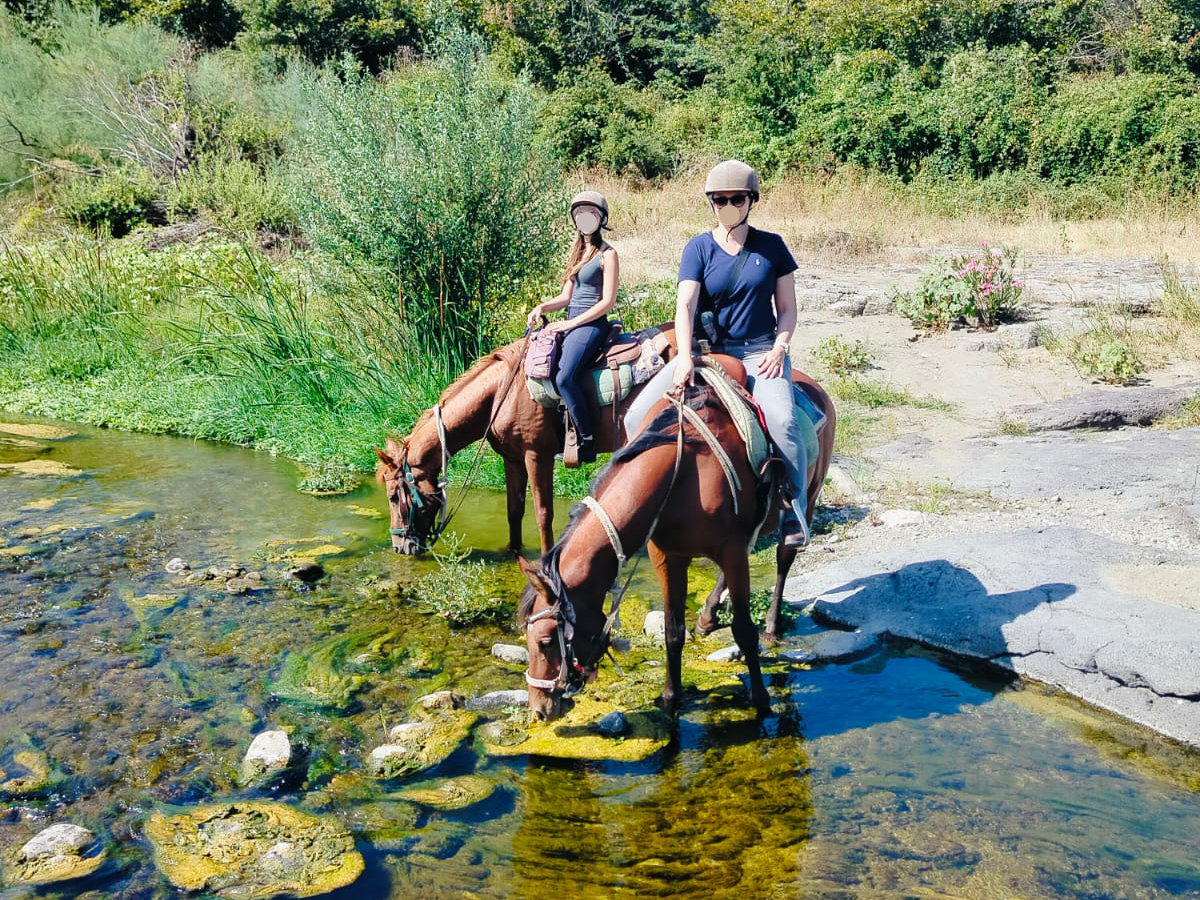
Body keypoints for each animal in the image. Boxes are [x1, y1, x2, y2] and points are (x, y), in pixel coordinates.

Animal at [375, 326, 677, 555]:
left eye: (393, 496)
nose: (399, 546)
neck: (500, 395)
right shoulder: (512, 459)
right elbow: (514, 509)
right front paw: (513, 550)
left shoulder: (536, 455)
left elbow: (543, 513)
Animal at [517, 358, 835, 722]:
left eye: (544, 641)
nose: (539, 710)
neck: (683, 475)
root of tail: (814, 386)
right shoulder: (668, 555)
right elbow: (672, 631)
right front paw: (671, 696)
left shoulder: (730, 549)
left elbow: (743, 629)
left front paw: (760, 699)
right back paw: (708, 616)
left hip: (806, 502)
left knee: (784, 560)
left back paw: (771, 623)